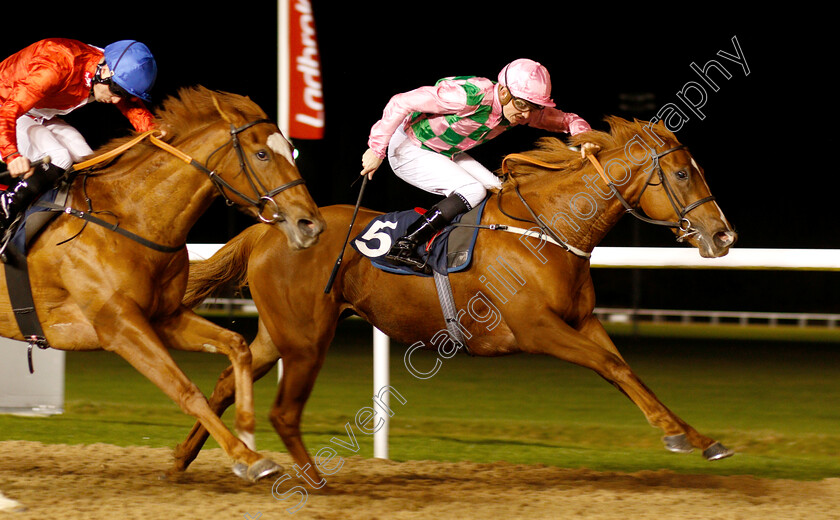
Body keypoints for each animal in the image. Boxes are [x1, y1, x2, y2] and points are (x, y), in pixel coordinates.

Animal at [0, 84, 324, 480]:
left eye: (291, 151)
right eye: (262, 153)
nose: (310, 224)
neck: (130, 217)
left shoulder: (164, 316)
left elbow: (237, 346)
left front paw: (247, 430)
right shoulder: (120, 327)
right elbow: (185, 390)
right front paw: (248, 458)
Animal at [176, 116, 736, 482]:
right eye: (683, 174)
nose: (723, 235)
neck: (547, 231)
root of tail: (269, 229)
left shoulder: (583, 321)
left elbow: (626, 371)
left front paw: (701, 439)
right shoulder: (538, 329)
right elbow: (612, 366)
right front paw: (679, 436)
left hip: (282, 331)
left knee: (227, 378)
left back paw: (185, 459)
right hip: (305, 333)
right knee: (266, 396)